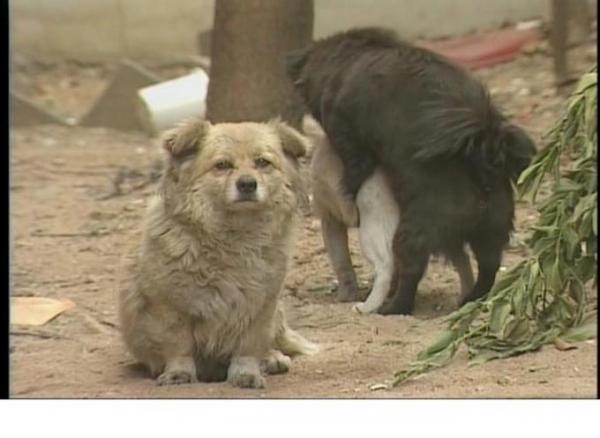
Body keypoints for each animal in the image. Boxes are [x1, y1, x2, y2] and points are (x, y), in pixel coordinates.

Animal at [119, 118, 322, 388]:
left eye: (263, 163)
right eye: (222, 166)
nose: (247, 184)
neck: (234, 237)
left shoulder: (261, 304)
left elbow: (249, 345)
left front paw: (246, 373)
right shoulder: (169, 306)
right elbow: (179, 346)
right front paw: (179, 373)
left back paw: (271, 358)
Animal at [310, 133, 474, 312]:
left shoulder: (330, 219)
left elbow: (340, 260)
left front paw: (347, 296)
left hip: (372, 232)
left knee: (385, 267)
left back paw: (366, 307)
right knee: (463, 260)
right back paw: (466, 298)